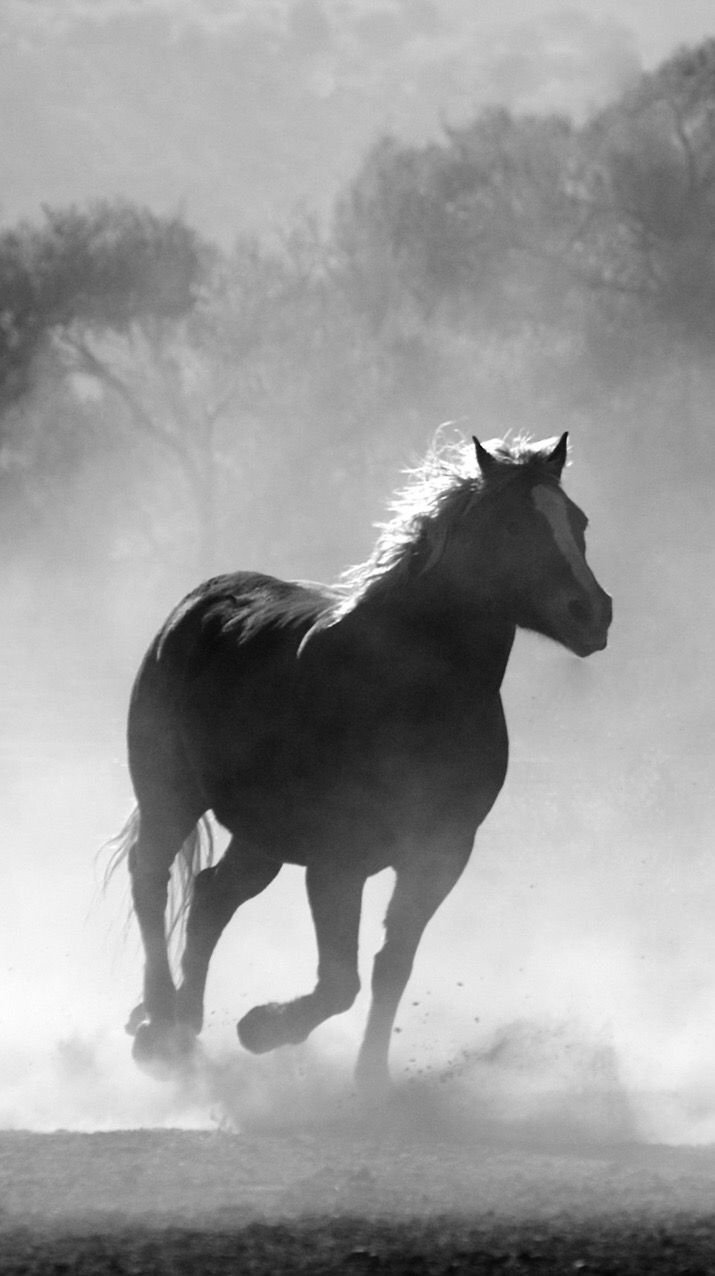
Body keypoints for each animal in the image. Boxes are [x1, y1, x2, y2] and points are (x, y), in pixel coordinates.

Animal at [109, 430, 611, 1094]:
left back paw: (186, 1027)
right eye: (511, 525)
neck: (411, 692)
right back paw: (160, 1026)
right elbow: (340, 981)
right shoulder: (337, 860)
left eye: (577, 522)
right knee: (151, 878)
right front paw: (262, 1028)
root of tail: (196, 605)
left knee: (212, 896)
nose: (593, 613)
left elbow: (390, 966)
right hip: (171, 796)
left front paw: (371, 1081)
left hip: (262, 836)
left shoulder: (440, 854)